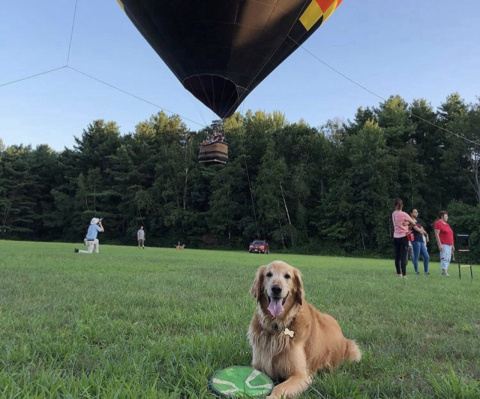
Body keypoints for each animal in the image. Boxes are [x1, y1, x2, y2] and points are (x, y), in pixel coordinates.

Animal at [249, 260, 358, 398]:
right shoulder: (257, 366)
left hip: (353, 350)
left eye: (287, 276)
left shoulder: (301, 376)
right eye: (269, 274)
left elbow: (279, 388)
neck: (276, 326)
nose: (276, 288)